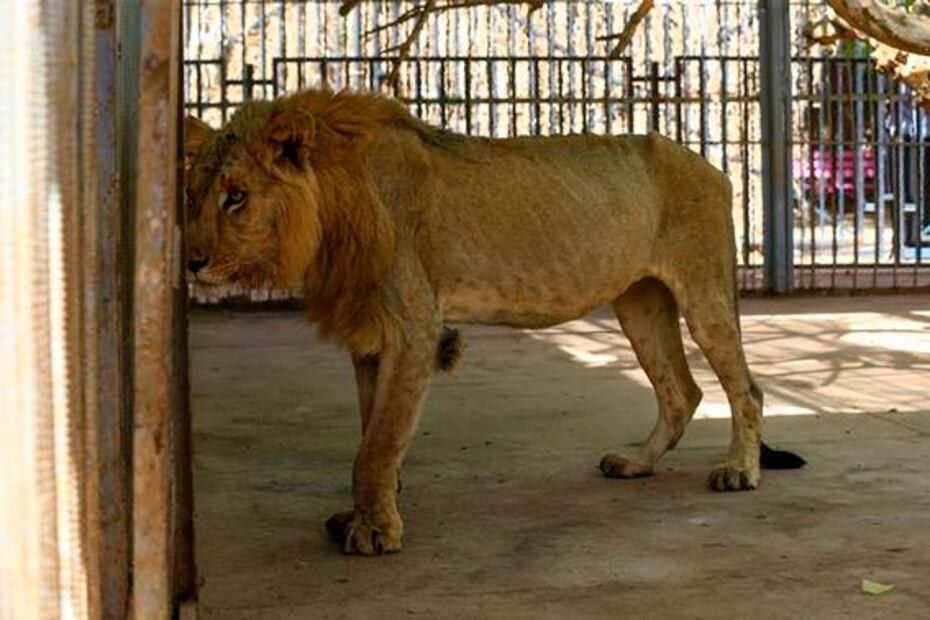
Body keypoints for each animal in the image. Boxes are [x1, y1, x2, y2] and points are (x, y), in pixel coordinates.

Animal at [184, 88, 804, 556]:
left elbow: (376, 444)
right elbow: (370, 434)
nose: (191, 261)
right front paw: (369, 510)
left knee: (745, 389)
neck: (333, 212)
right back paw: (636, 464)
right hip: (640, 301)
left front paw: (376, 531)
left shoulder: (413, 328)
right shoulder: (371, 335)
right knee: (682, 391)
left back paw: (739, 472)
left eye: (236, 197)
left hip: (703, 289)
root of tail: (713, 168)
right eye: (193, 195)